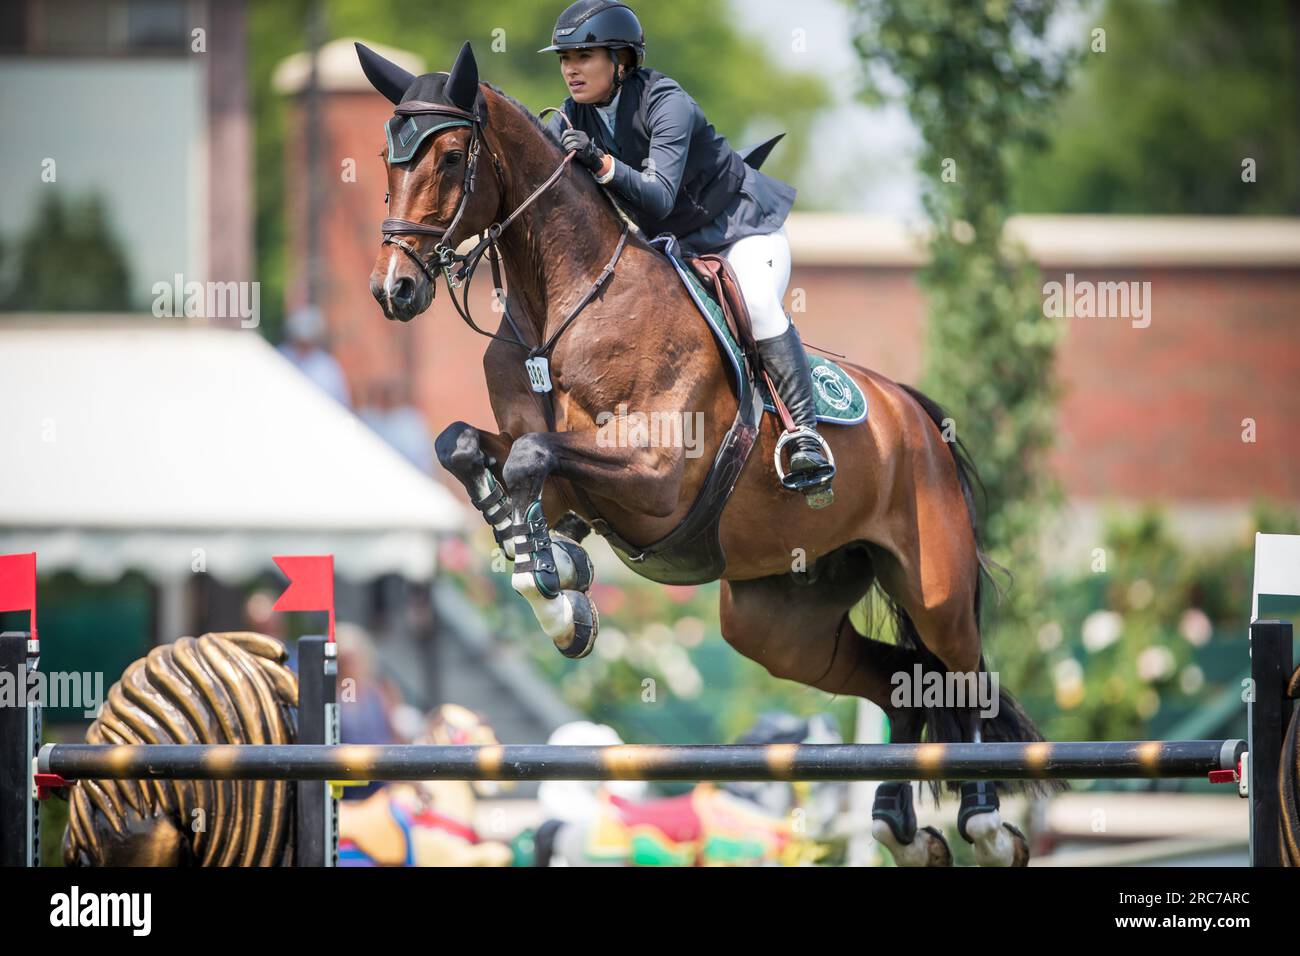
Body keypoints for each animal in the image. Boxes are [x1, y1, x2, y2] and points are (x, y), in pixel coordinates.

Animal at [358, 41, 1045, 868]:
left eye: (452, 156)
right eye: (386, 157)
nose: (393, 290)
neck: (562, 309)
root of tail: (914, 412)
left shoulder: (657, 479)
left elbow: (530, 457)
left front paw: (559, 591)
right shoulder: (563, 472)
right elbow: (471, 448)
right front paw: (558, 583)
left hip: (934, 589)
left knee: (957, 676)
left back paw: (983, 823)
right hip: (778, 620)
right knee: (900, 681)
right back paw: (898, 828)